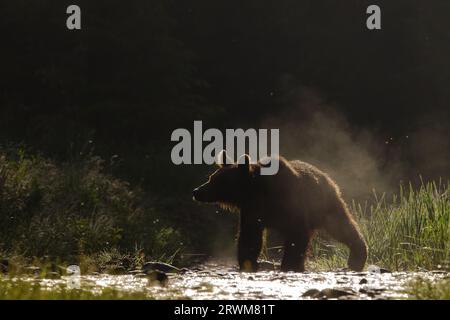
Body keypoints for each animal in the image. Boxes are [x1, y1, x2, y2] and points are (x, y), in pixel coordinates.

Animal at [192, 151, 368, 272]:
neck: (259, 191)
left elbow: (296, 236)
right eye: (211, 178)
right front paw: (248, 263)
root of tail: (326, 176)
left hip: (326, 204)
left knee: (341, 226)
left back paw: (357, 256)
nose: (196, 191)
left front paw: (289, 265)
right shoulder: (253, 209)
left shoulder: (291, 204)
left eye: (215, 180)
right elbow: (250, 236)